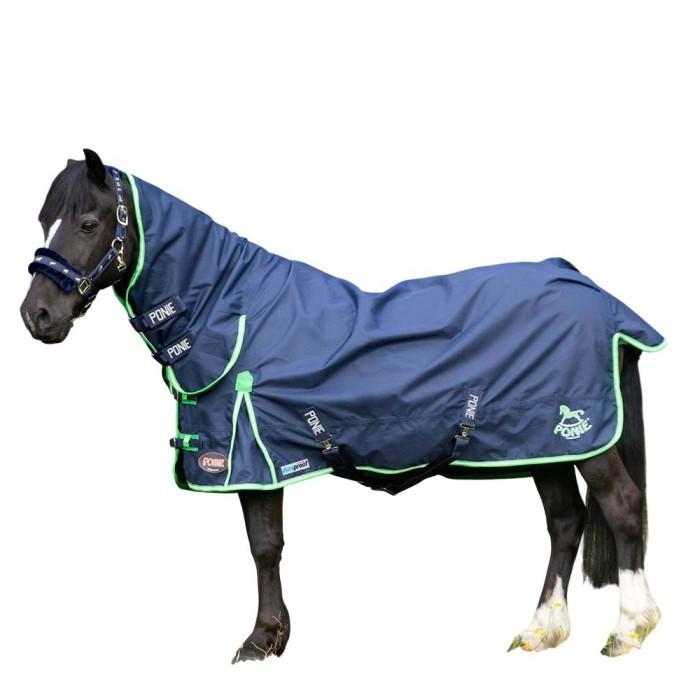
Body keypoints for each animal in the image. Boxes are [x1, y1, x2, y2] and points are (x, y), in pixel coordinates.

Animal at [20, 150, 665, 661]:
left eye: (88, 221)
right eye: (45, 220)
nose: (37, 316)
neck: (232, 313)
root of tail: (589, 287)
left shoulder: (255, 457)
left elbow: (265, 546)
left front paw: (260, 641)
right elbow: (266, 547)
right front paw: (273, 635)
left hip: (578, 437)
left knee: (622, 506)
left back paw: (630, 629)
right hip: (539, 443)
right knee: (566, 521)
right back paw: (541, 630)